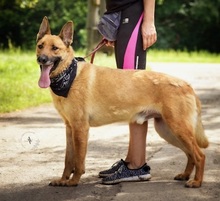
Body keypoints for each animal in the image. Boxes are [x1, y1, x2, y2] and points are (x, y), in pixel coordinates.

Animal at [35, 16, 208, 188]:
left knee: (199, 155)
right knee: (190, 154)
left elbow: (78, 161)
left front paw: (73, 181)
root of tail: (186, 85)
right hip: (168, 131)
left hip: (178, 129)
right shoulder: (69, 128)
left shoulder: (80, 128)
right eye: (40, 46)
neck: (69, 76)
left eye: (55, 48)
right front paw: (63, 179)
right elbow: (68, 160)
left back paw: (196, 181)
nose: (41, 59)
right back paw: (185, 175)